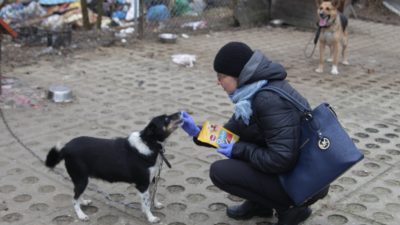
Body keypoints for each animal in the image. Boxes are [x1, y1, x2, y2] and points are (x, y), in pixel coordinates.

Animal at [45, 112, 181, 223]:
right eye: (166, 119)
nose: (180, 113)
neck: (150, 143)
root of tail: (65, 148)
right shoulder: (142, 185)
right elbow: (146, 203)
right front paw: (151, 217)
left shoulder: (151, 180)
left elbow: (154, 194)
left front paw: (156, 204)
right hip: (81, 179)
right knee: (74, 199)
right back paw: (81, 215)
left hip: (81, 179)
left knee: (77, 195)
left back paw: (83, 202)